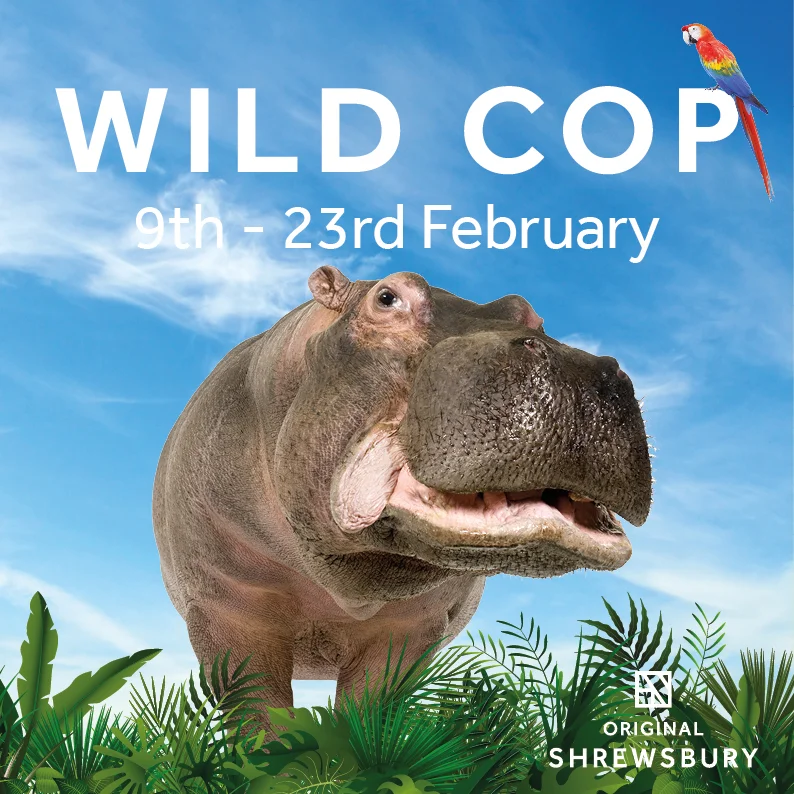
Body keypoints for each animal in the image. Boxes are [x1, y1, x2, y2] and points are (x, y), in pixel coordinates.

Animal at [153, 266, 651, 706]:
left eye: (529, 312)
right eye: (388, 298)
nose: (580, 368)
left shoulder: (410, 624)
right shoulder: (229, 605)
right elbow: (257, 711)